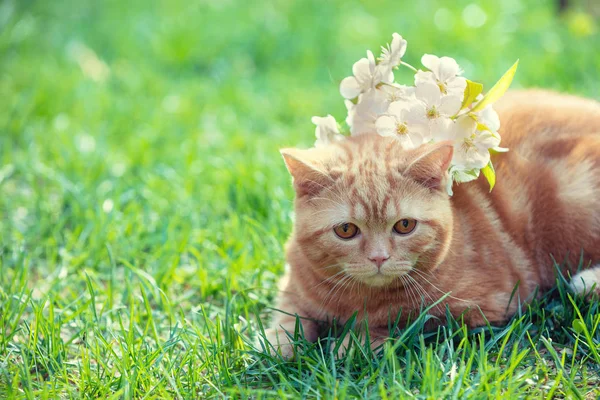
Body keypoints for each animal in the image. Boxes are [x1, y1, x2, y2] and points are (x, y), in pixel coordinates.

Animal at [266, 89, 600, 358]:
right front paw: (277, 344)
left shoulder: (480, 307)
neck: (357, 301)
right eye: (346, 230)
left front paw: (351, 345)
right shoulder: (293, 285)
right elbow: (287, 316)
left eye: (404, 226)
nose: (378, 258)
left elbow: (404, 322)